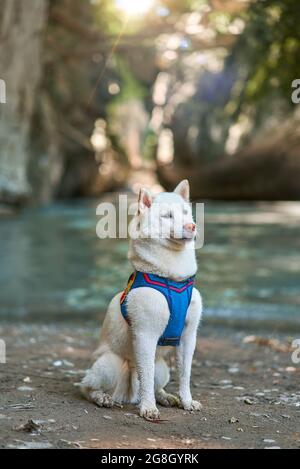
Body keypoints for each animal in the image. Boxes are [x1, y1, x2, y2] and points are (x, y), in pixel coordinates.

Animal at [79, 178, 203, 416]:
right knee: (86, 386)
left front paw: (187, 401)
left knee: (155, 382)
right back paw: (102, 397)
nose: (191, 226)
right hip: (111, 364)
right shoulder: (146, 334)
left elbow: (185, 374)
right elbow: (146, 374)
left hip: (162, 368)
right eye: (167, 216)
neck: (172, 277)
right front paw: (148, 408)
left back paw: (165, 396)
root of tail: (128, 395)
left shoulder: (188, 335)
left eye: (185, 213)